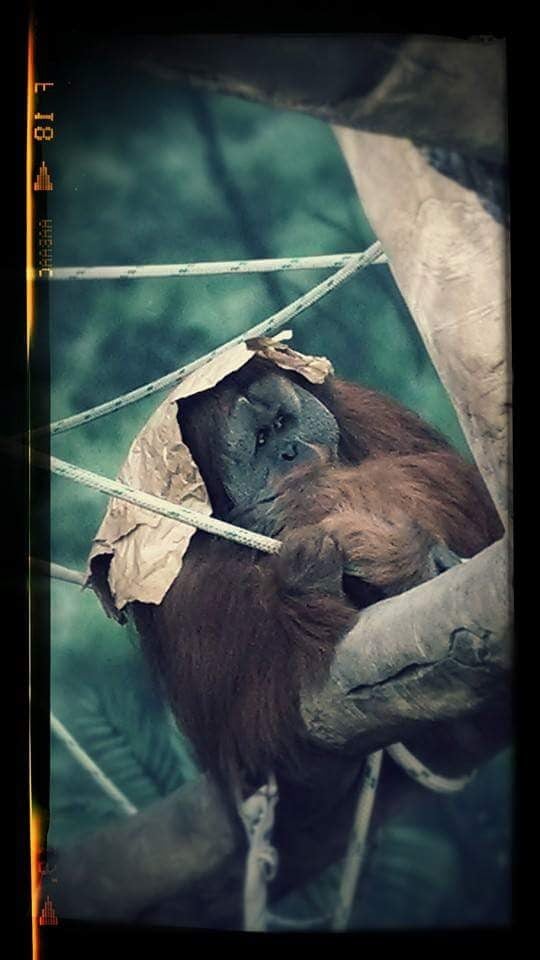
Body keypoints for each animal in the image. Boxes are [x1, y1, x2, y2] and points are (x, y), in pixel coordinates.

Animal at [131, 356, 503, 798]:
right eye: (260, 441)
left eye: (281, 423)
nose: (289, 451)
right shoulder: (158, 544)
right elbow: (217, 683)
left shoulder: (363, 411)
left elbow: (453, 482)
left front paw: (315, 500)